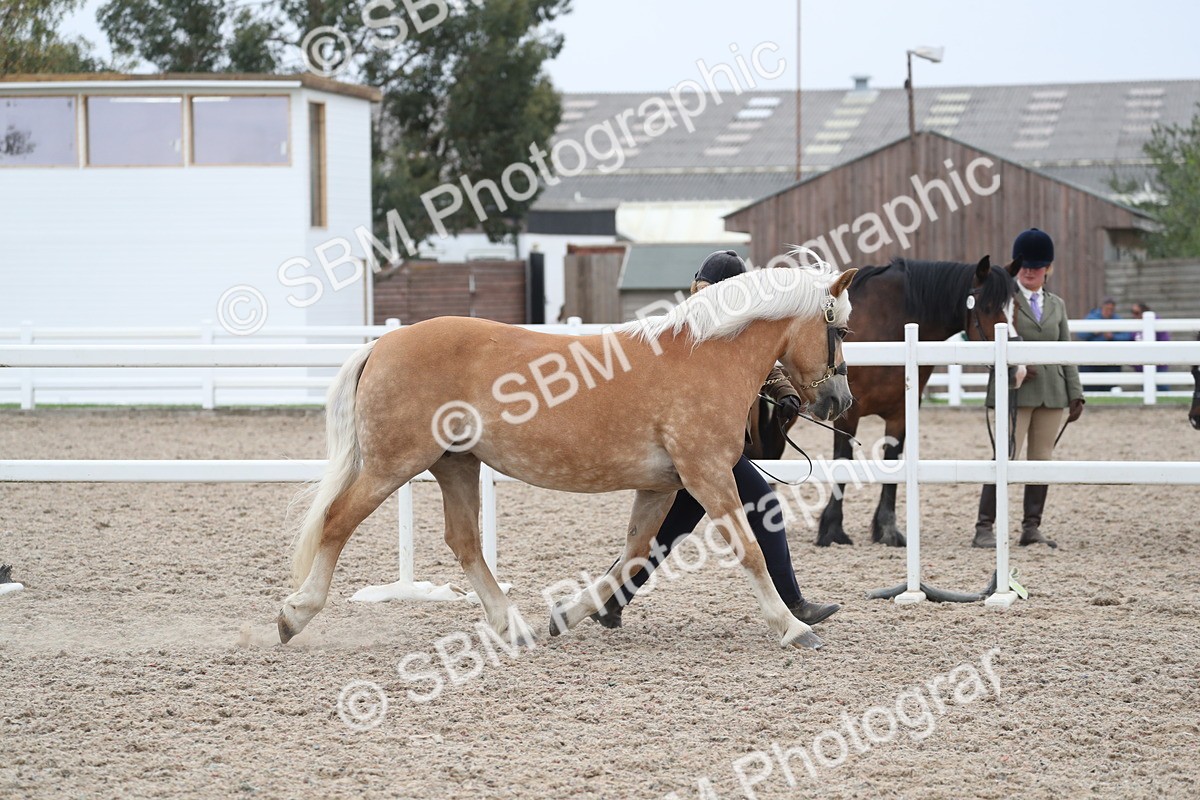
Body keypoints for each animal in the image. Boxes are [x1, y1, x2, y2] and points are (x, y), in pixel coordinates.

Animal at [277, 264, 858, 651]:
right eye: (842, 330)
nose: (841, 401)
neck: (703, 356)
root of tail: (383, 343)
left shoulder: (663, 485)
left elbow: (633, 556)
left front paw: (569, 614)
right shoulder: (708, 476)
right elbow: (749, 549)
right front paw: (793, 627)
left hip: (455, 463)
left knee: (464, 542)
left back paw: (513, 627)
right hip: (392, 466)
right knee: (336, 521)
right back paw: (294, 615)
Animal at [811, 256, 1020, 547]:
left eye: (1016, 307)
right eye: (988, 307)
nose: (1017, 370)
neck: (887, 324)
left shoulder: (901, 413)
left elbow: (892, 462)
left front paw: (887, 529)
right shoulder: (847, 413)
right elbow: (843, 460)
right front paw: (832, 529)